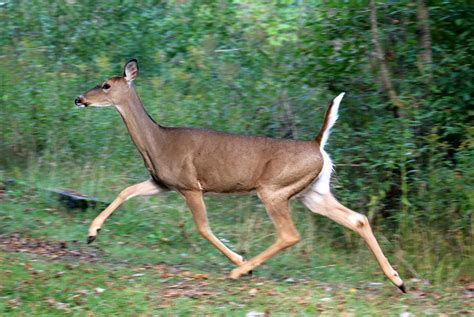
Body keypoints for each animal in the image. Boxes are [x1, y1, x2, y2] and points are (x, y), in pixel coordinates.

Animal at [76, 58, 406, 292]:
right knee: (358, 219)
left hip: (273, 188)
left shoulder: (190, 185)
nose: (79, 98)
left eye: (106, 85)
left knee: (290, 233)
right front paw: (92, 233)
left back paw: (240, 271)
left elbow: (203, 227)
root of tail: (317, 145)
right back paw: (398, 280)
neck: (158, 142)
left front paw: (240, 260)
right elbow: (125, 191)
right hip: (313, 192)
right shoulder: (162, 182)